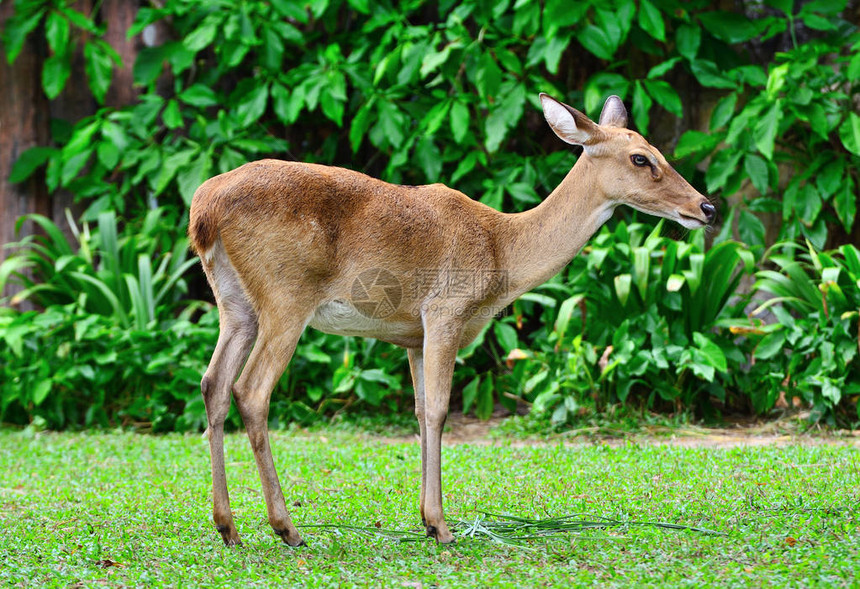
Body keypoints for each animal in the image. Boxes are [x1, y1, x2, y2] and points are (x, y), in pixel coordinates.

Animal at [190, 93, 720, 548]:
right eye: (640, 158)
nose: (707, 207)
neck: (502, 251)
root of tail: (204, 208)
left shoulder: (411, 335)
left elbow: (421, 411)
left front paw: (426, 522)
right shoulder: (445, 312)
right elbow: (442, 410)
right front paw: (441, 526)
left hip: (235, 304)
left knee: (213, 383)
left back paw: (228, 527)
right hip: (286, 297)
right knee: (251, 390)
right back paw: (287, 529)